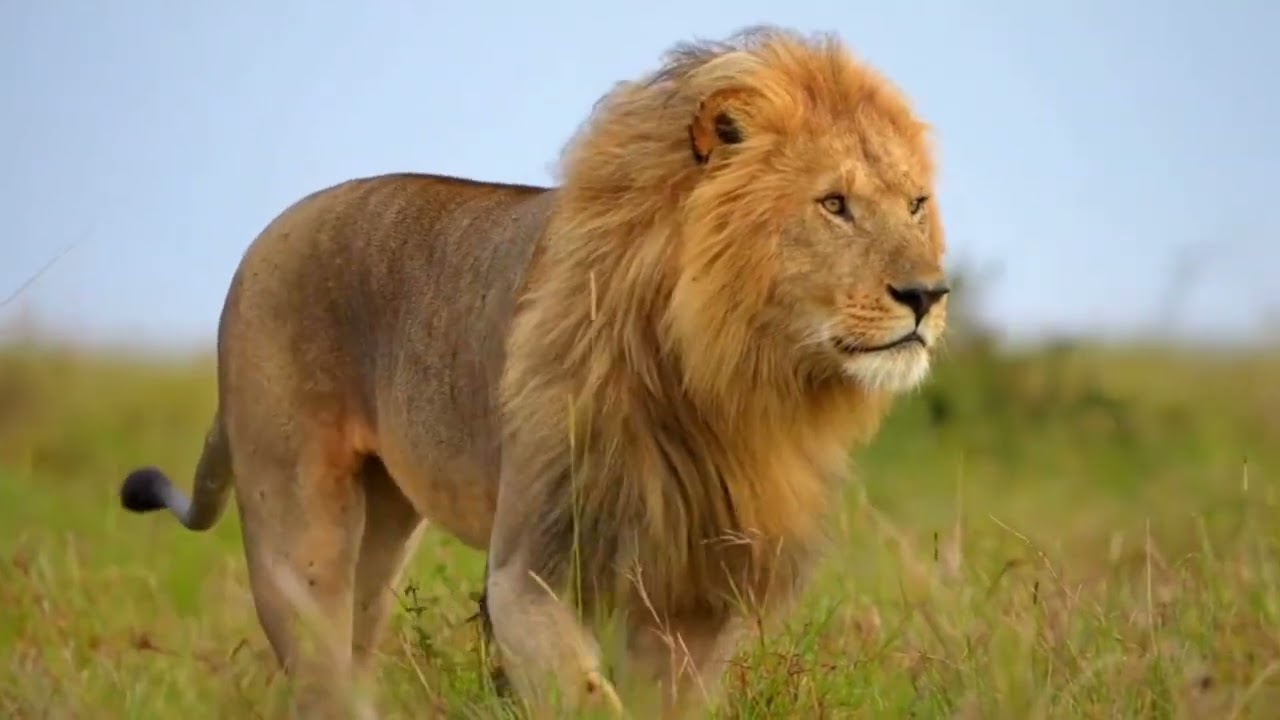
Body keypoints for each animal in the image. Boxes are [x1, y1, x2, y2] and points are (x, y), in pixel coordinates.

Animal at [117, 26, 948, 719]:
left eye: (915, 204)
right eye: (834, 204)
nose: (927, 295)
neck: (729, 384)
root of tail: (264, 239)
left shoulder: (699, 588)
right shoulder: (530, 567)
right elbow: (586, 696)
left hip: (383, 526)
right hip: (297, 529)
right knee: (318, 663)